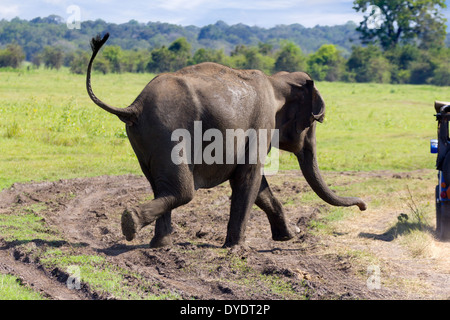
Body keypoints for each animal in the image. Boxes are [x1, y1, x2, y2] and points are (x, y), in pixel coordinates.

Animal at [85, 33, 366, 248]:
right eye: (313, 123)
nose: (363, 205)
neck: (276, 82)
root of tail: (134, 106)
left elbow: (259, 186)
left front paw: (287, 237)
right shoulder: (261, 122)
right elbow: (250, 178)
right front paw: (237, 248)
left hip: (145, 140)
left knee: (160, 186)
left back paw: (159, 245)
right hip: (169, 132)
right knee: (182, 190)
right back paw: (131, 223)